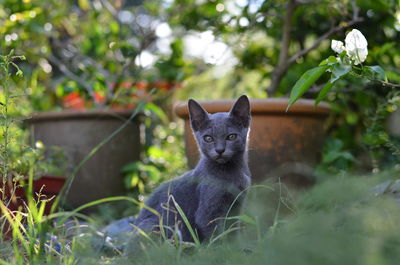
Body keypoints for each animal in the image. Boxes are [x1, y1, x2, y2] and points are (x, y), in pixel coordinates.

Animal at [102, 94, 250, 243]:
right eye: (208, 138)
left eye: (231, 136)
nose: (220, 150)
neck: (231, 172)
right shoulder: (208, 213)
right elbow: (217, 236)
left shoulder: (238, 205)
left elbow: (233, 231)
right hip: (154, 226)